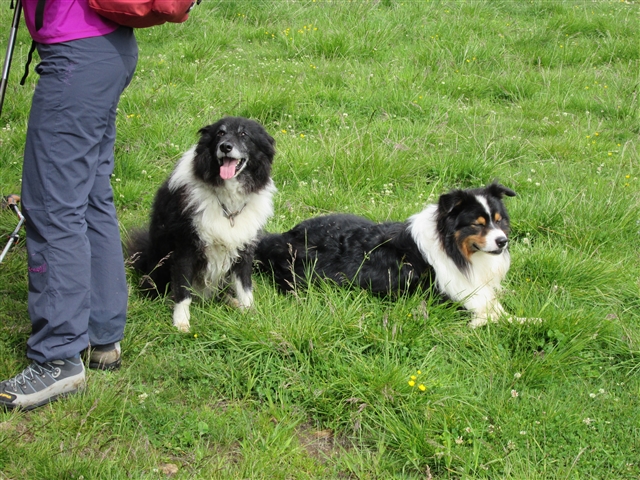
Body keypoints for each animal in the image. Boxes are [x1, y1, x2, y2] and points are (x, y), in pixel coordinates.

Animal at [129, 118, 276, 332]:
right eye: (220, 133)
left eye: (244, 135)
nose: (225, 147)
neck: (227, 203)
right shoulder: (185, 248)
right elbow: (183, 291)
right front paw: (181, 323)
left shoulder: (244, 248)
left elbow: (245, 287)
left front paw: (251, 315)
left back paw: (233, 303)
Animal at [255, 182, 524, 328]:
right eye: (477, 224)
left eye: (499, 221)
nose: (503, 241)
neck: (452, 248)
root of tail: (281, 238)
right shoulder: (450, 299)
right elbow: (502, 317)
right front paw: (527, 321)